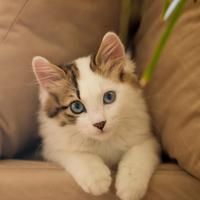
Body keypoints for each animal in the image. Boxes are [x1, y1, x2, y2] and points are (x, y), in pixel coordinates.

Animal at [32, 32, 160, 200]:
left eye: (109, 97)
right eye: (77, 107)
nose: (100, 124)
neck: (104, 143)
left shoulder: (147, 138)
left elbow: (138, 155)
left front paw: (130, 186)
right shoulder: (52, 147)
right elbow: (78, 154)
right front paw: (96, 178)